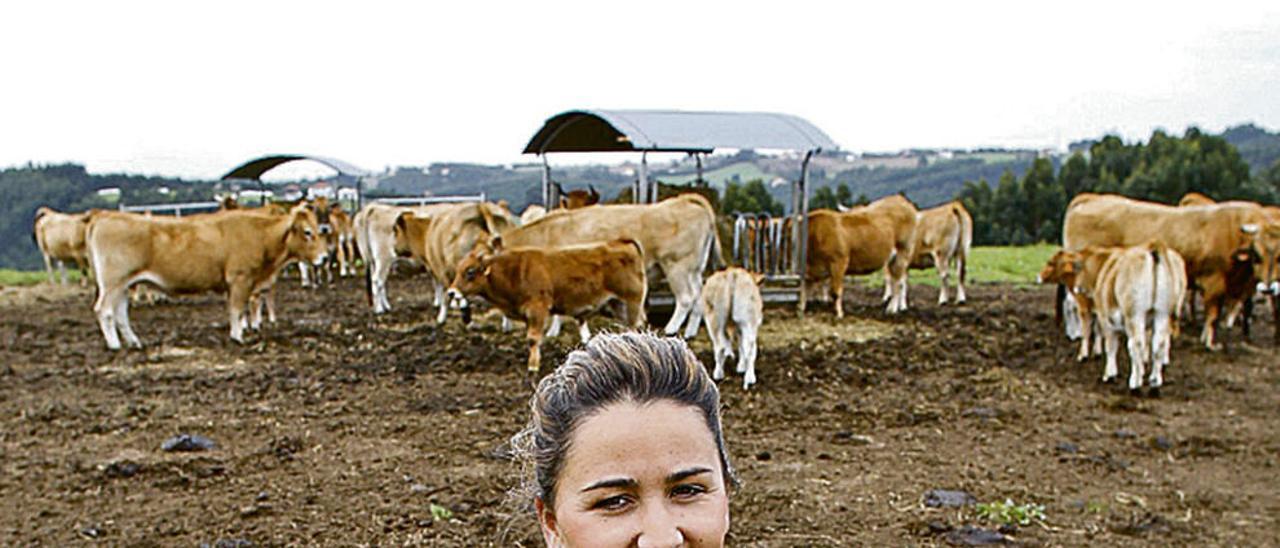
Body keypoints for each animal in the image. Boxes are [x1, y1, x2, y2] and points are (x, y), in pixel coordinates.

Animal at [84, 203, 325, 348]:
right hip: (113, 283)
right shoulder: (241, 279)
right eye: (307, 232)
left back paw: (134, 343)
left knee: (120, 313)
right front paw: (237, 337)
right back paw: (115, 346)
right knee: (104, 311)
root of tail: (104, 215)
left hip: (123, 285)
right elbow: (237, 310)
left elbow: (239, 311)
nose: (323, 257)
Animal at [450, 238, 650, 373]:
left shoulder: (538, 308)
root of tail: (619, 241)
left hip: (631, 301)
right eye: (458, 269)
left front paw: (533, 366)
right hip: (617, 304)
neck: (514, 271)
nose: (451, 292)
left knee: (634, 327)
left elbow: (532, 338)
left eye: (470, 271)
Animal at [494, 192, 727, 338]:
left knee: (686, 298)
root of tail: (684, 200)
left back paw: (669, 329)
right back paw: (690, 332)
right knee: (698, 296)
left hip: (676, 265)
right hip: (694, 268)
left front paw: (552, 331)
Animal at [1059, 192, 1280, 345]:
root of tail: (1091, 199)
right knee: (1074, 305)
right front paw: (1209, 342)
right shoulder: (1214, 283)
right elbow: (1212, 316)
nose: (1268, 288)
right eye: (1257, 253)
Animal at [1090, 240, 1187, 394]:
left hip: (1135, 314)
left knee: (1136, 344)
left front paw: (1109, 374)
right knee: (1159, 344)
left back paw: (1135, 383)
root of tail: (1152, 245)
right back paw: (1154, 381)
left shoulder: (1106, 320)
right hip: (1163, 313)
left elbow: (1111, 346)